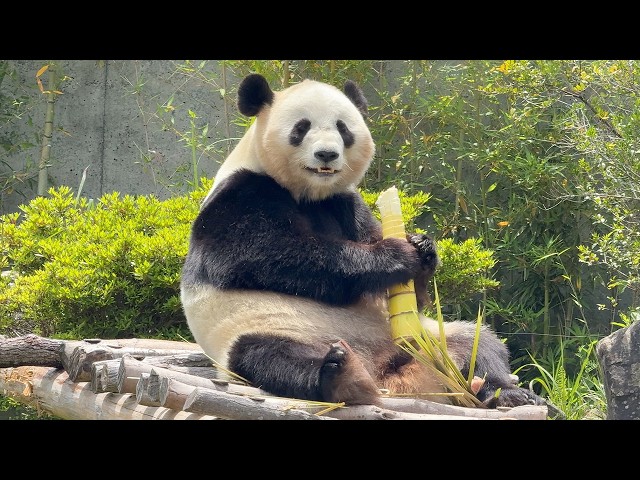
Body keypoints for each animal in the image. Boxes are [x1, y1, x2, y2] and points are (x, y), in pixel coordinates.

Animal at [180, 73, 546, 409]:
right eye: (301, 128)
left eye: (343, 128)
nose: (326, 155)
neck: (309, 194)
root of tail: (385, 373)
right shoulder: (239, 195)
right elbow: (260, 255)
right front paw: (396, 255)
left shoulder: (346, 202)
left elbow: (408, 292)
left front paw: (422, 248)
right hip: (263, 330)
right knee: (273, 357)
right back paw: (340, 376)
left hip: (427, 337)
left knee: (478, 343)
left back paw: (505, 392)